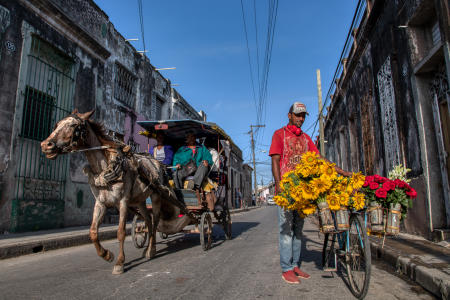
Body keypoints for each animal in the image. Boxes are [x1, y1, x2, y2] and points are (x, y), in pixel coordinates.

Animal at [40, 110, 184, 274]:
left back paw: (151, 250)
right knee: (148, 220)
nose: (46, 145)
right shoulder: (101, 203)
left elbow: (120, 232)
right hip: (140, 200)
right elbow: (93, 232)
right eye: (57, 124)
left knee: (155, 222)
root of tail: (157, 164)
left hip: (156, 196)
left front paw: (120, 263)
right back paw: (147, 248)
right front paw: (106, 255)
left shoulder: (123, 202)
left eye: (73, 125)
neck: (105, 167)